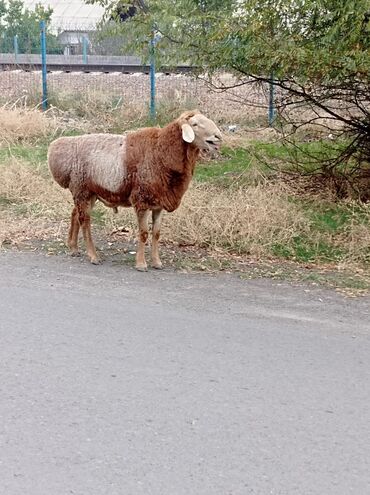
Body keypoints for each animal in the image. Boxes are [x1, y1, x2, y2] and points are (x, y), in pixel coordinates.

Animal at [49, 110, 223, 272]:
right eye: (195, 124)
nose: (218, 137)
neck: (161, 152)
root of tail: (56, 147)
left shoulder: (158, 203)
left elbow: (156, 234)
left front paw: (157, 262)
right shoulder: (141, 200)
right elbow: (144, 233)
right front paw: (141, 264)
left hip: (89, 193)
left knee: (75, 214)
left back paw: (73, 248)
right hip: (82, 190)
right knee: (85, 221)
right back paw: (93, 256)